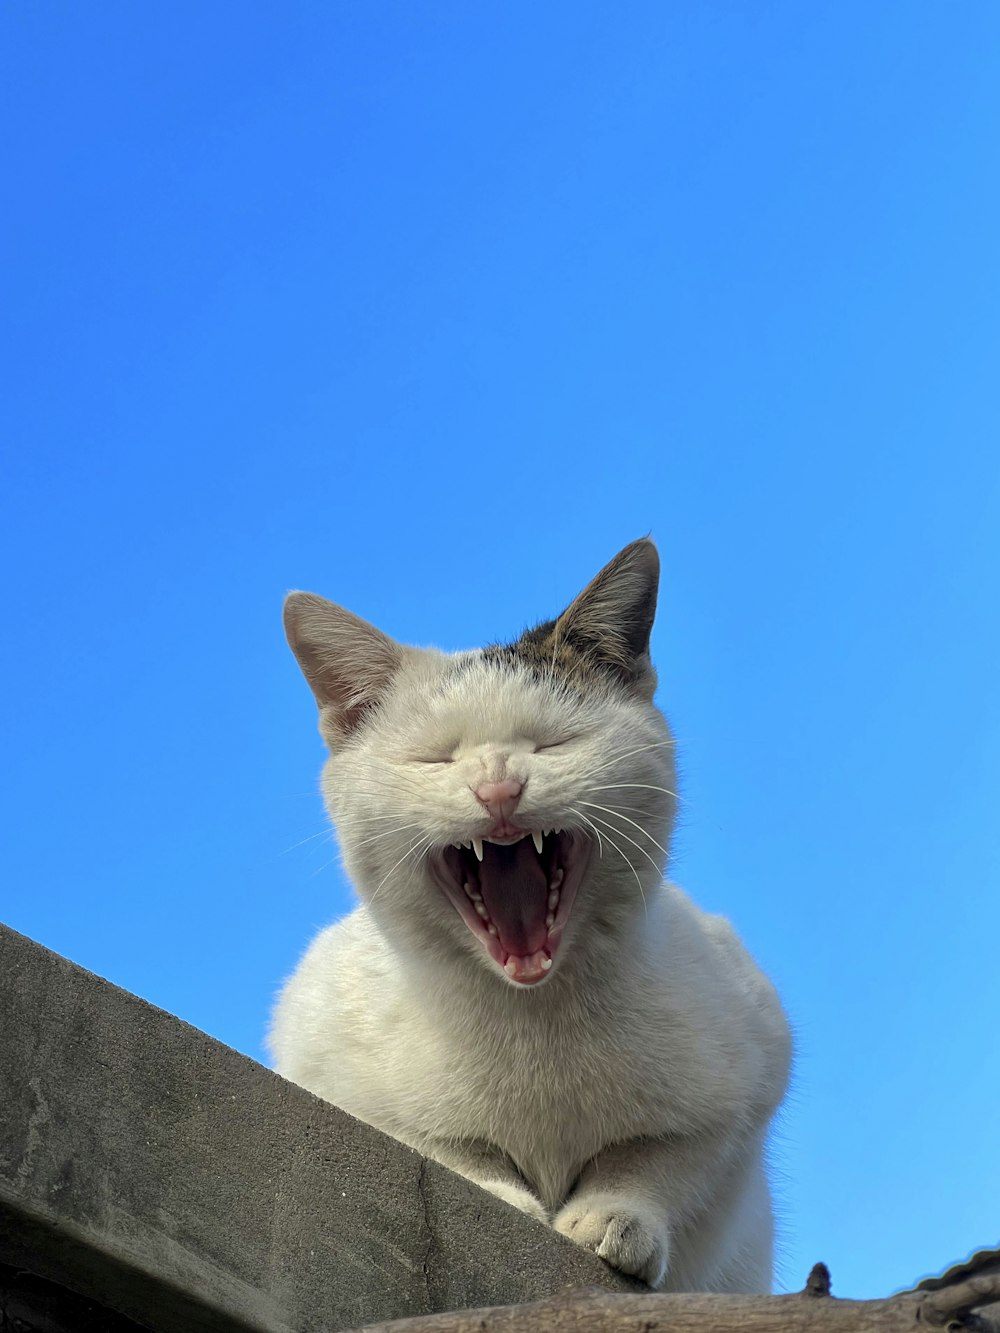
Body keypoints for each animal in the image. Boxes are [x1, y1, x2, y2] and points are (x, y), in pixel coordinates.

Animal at [270, 538, 794, 1290]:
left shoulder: (752, 1060)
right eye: (435, 758)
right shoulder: (318, 1049)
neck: (534, 1022)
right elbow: (440, 1144)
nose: (499, 788)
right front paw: (500, 1194)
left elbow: (659, 1160)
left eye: (554, 743)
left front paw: (617, 1214)